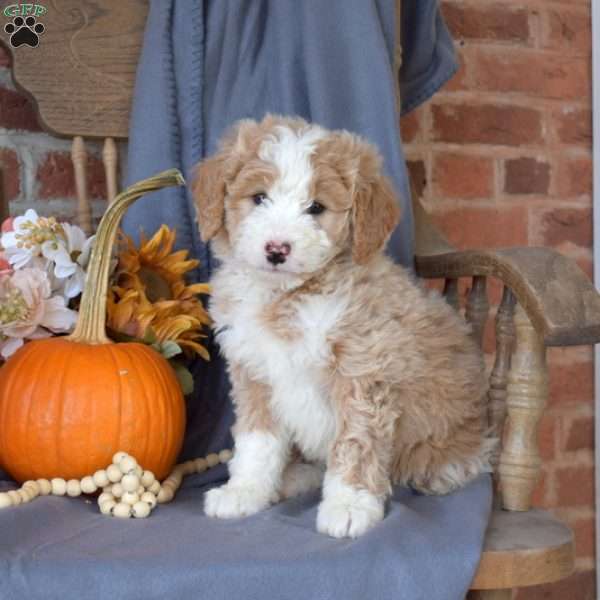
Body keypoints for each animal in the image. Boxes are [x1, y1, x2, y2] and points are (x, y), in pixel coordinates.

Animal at [195, 113, 494, 540]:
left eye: (316, 207)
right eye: (259, 198)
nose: (277, 249)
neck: (289, 296)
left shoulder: (362, 372)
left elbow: (355, 442)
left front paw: (350, 505)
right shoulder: (254, 373)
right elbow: (257, 441)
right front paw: (245, 491)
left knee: (463, 457)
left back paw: (441, 470)